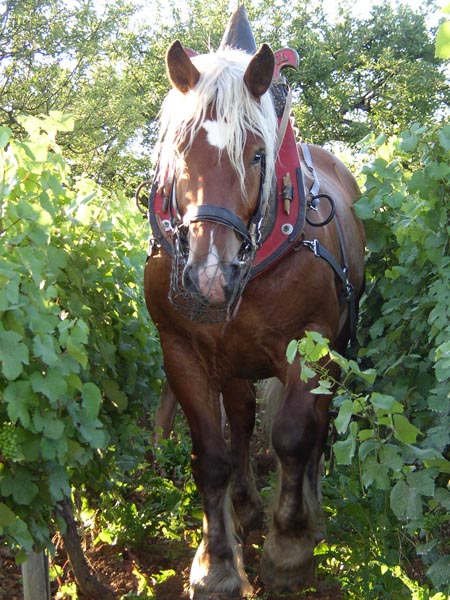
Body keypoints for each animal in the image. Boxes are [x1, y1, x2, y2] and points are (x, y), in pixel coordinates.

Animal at [144, 16, 366, 596]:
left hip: (335, 348)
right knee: (242, 416)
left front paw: (289, 548)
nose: (208, 278)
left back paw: (309, 512)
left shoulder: (309, 344)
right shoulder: (181, 351)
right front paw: (217, 564)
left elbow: (292, 437)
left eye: (258, 155)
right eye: (178, 151)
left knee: (317, 425)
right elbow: (211, 455)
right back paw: (244, 509)